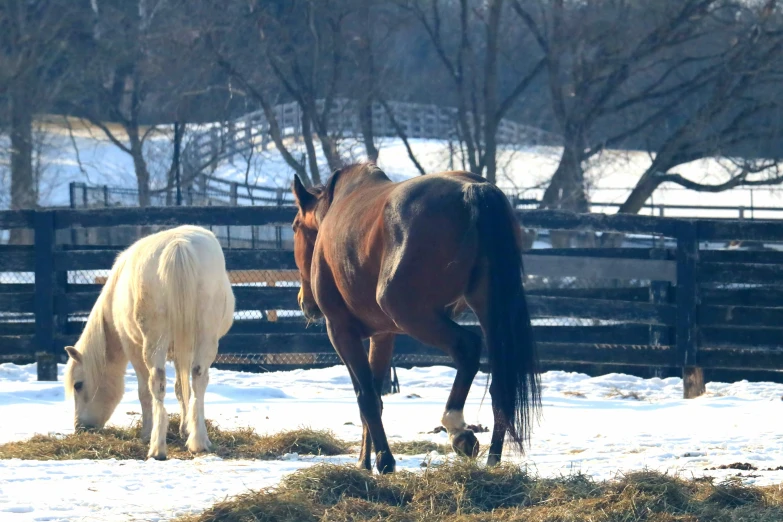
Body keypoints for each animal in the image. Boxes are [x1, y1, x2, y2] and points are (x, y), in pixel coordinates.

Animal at [63, 223, 236, 456]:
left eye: (78, 385)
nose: (80, 428)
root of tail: (178, 246)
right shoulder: (183, 350)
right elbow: (182, 388)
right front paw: (184, 429)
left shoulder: (132, 346)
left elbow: (145, 391)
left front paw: (147, 433)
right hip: (204, 338)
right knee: (198, 379)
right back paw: (199, 441)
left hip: (152, 343)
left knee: (155, 382)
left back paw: (156, 446)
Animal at [290, 162, 544, 472]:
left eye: (295, 227)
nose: (305, 303)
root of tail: (474, 190)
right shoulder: (383, 335)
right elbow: (375, 396)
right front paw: (366, 461)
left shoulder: (340, 330)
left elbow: (366, 398)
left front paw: (382, 461)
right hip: (488, 310)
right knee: (501, 385)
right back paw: (492, 461)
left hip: (414, 316)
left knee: (468, 347)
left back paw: (457, 429)